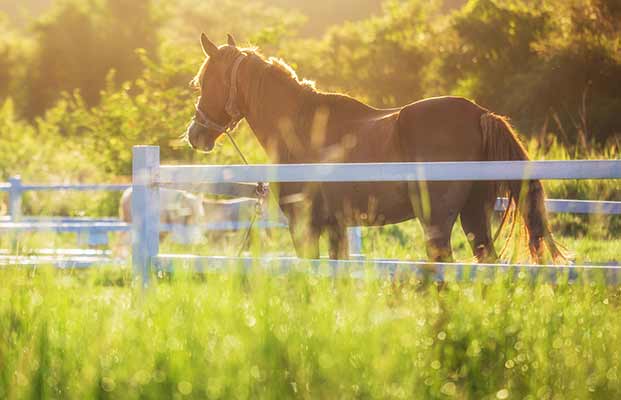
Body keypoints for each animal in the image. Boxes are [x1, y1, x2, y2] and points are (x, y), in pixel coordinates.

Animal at [183, 33, 560, 262]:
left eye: (203, 81)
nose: (194, 134)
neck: (302, 127)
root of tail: (480, 113)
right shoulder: (336, 227)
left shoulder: (304, 227)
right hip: (474, 217)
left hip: (438, 223)